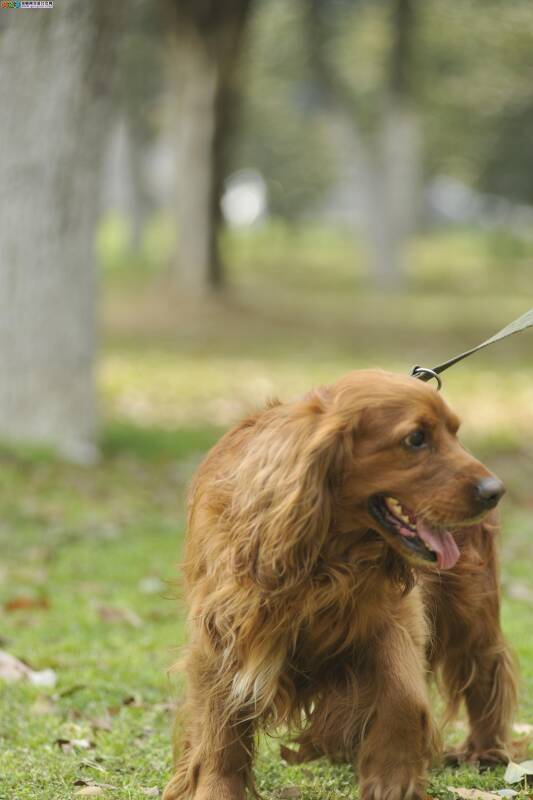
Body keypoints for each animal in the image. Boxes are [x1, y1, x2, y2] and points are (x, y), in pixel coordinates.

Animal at [163, 370, 516, 800]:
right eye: (416, 438)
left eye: (454, 432)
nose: (495, 491)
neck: (326, 554)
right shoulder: (222, 631)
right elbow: (219, 728)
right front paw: (215, 789)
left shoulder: (394, 617)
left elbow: (403, 693)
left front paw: (392, 780)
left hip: (470, 606)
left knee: (486, 667)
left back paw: (486, 750)